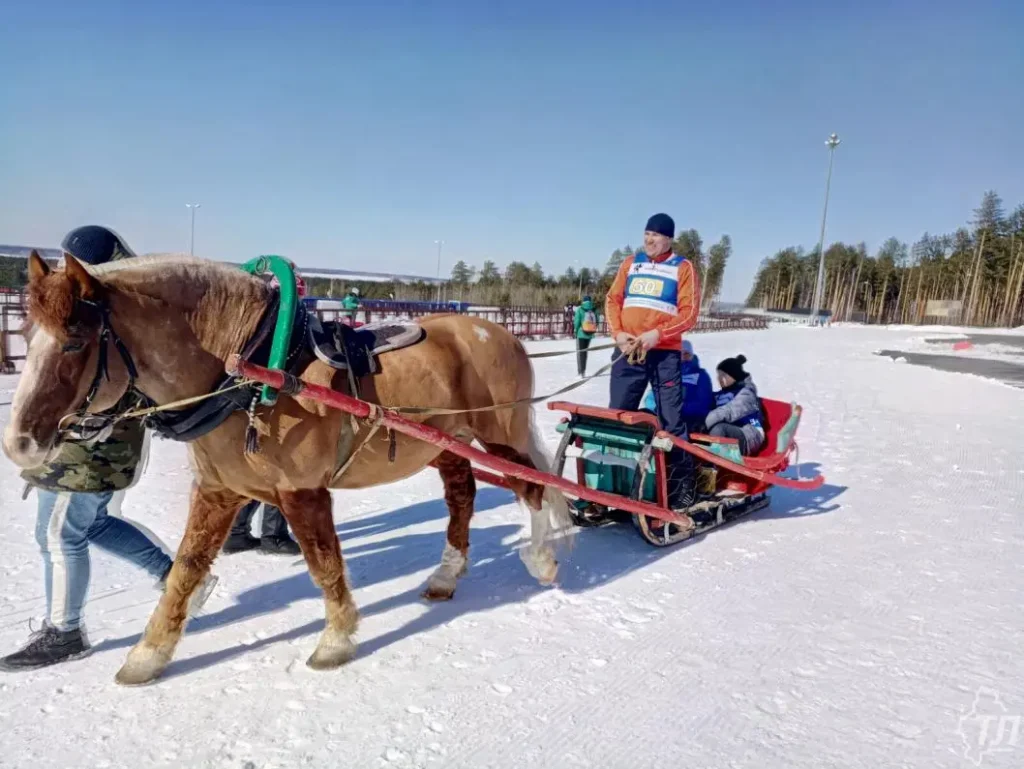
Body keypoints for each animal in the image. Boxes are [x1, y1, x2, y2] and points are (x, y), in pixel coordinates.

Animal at [4, 252, 573, 684]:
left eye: (75, 340)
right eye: (25, 334)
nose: (18, 444)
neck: (249, 370)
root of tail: (494, 331)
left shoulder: (303, 491)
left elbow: (324, 564)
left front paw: (336, 640)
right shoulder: (217, 491)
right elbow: (186, 570)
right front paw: (149, 654)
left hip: (498, 433)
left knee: (532, 486)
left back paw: (543, 559)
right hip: (445, 444)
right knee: (462, 494)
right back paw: (446, 575)